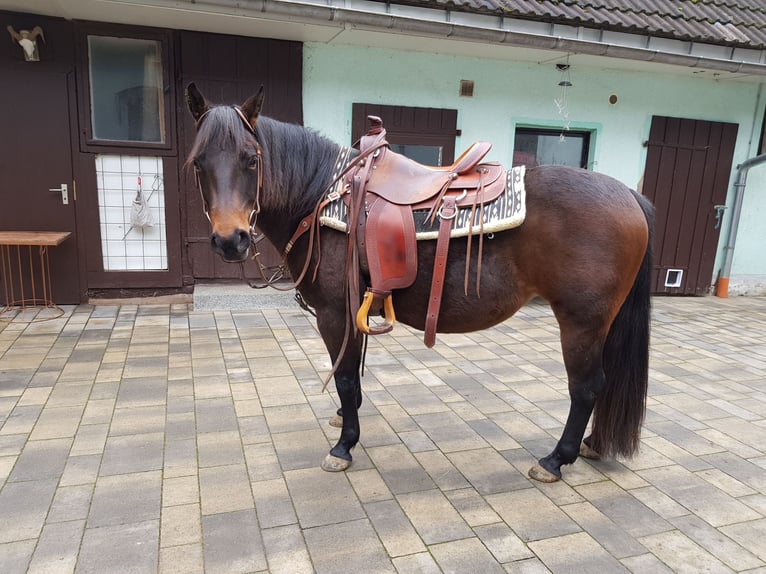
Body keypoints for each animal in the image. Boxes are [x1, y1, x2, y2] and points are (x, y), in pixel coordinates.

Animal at [185, 83, 654, 483]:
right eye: (197, 162)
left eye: (251, 158)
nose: (230, 240)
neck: (319, 197)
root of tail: (628, 195)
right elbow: (351, 376)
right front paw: (345, 419)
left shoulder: (334, 314)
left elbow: (345, 378)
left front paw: (343, 446)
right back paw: (592, 444)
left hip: (581, 321)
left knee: (587, 387)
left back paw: (556, 459)